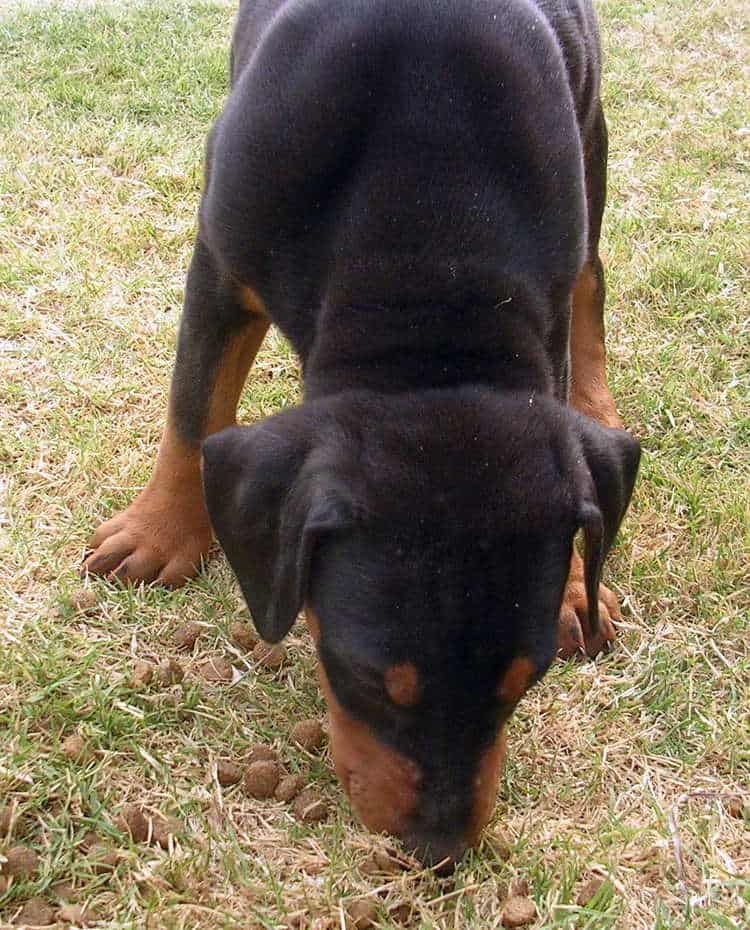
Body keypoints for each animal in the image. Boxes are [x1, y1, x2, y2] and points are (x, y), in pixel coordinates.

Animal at [86, 0, 640, 868]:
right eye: (371, 677)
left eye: (527, 679)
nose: (437, 849)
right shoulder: (222, 254)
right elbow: (192, 403)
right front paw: (158, 532)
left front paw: (581, 587)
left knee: (592, 275)